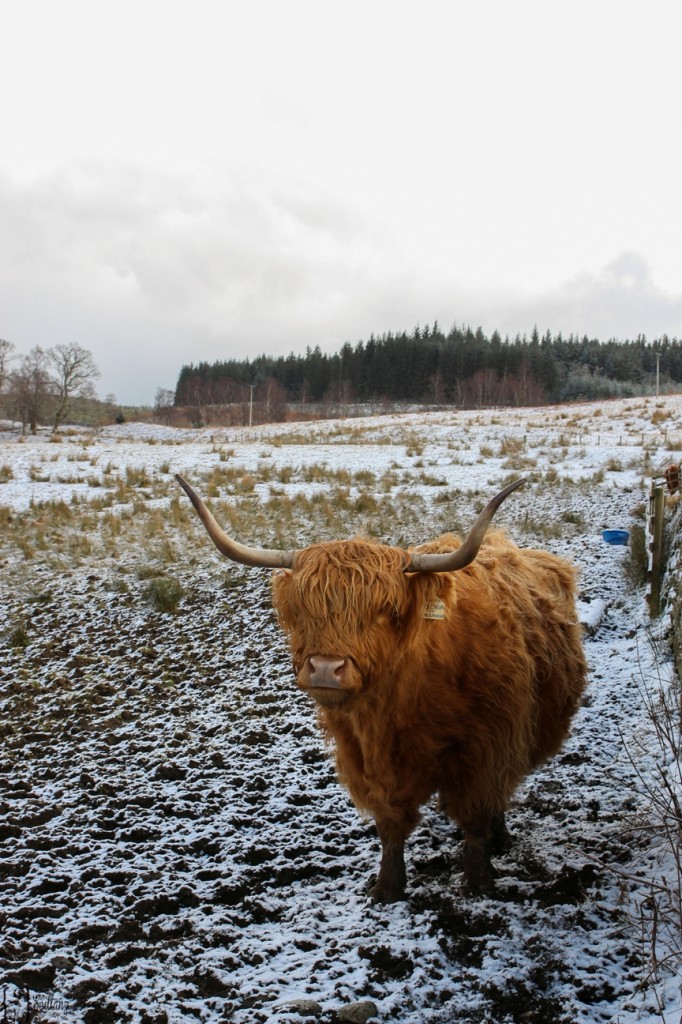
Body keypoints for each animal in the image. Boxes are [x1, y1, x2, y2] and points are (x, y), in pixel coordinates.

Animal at [176, 473, 587, 903]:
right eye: (303, 611)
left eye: (385, 611)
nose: (325, 669)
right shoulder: (364, 756)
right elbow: (389, 823)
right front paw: (387, 887)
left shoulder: (487, 749)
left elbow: (476, 817)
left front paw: (479, 884)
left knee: (500, 796)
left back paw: (500, 839)